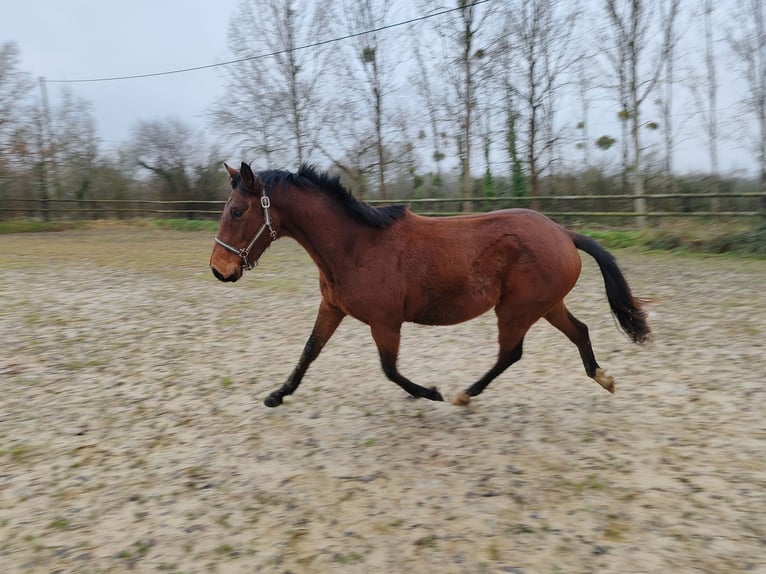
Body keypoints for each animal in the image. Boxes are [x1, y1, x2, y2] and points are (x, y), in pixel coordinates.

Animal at [212, 162, 656, 408]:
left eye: (237, 211)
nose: (219, 269)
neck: (356, 245)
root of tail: (564, 233)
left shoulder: (385, 322)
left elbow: (390, 370)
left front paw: (430, 392)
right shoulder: (332, 308)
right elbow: (308, 352)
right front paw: (277, 395)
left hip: (517, 310)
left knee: (511, 353)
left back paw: (464, 394)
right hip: (544, 305)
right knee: (578, 331)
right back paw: (603, 377)